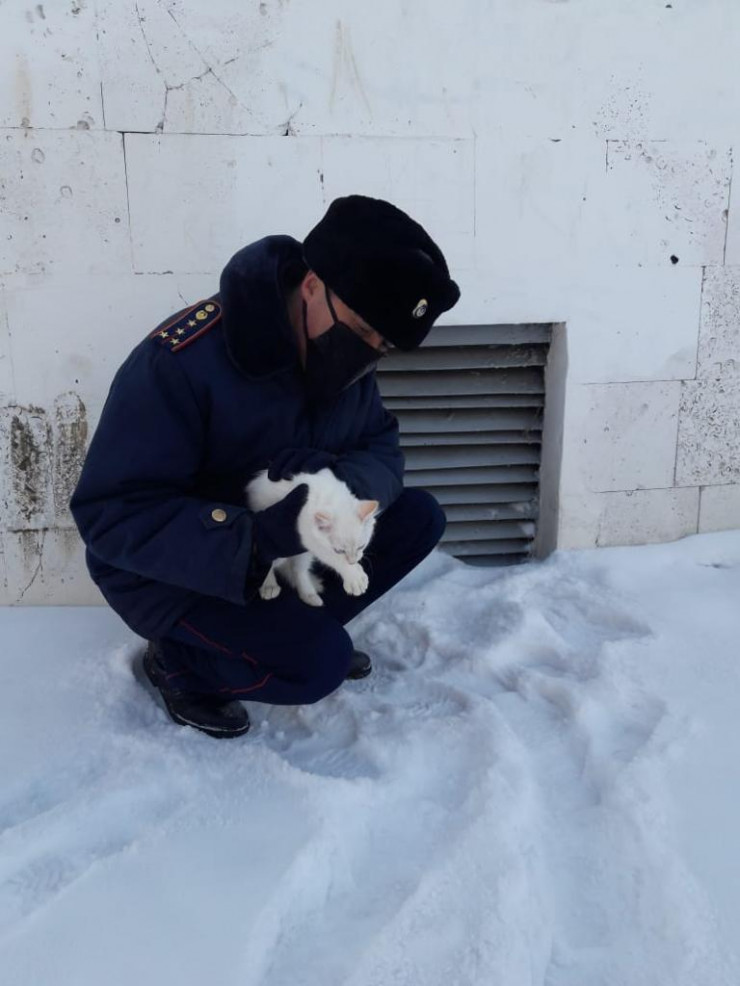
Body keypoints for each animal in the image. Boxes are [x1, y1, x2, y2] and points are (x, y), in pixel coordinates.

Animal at [245, 467, 379, 607]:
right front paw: (353, 576)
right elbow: (332, 557)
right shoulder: (307, 536)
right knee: (268, 564)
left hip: (301, 553)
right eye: (339, 551)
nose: (352, 561)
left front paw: (356, 568)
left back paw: (308, 594)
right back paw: (268, 585)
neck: (330, 498)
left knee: (297, 569)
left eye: (361, 546)